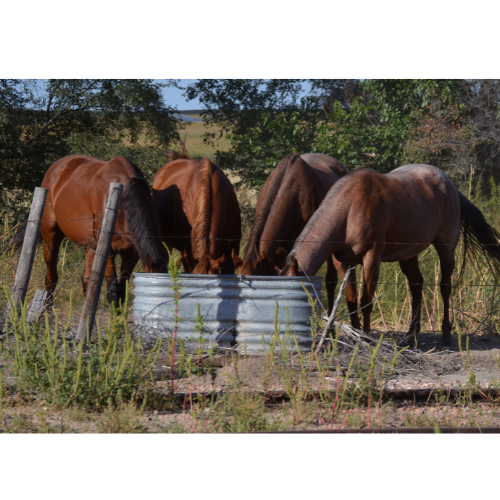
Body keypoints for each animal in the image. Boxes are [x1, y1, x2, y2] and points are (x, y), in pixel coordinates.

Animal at [11, 155, 168, 304]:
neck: (123, 201)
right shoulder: (108, 253)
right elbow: (113, 293)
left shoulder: (131, 255)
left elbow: (121, 292)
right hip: (51, 237)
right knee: (51, 278)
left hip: (90, 246)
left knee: (85, 279)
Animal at [280, 166, 500, 346]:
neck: (349, 208)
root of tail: (448, 182)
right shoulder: (343, 262)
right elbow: (352, 301)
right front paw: (356, 335)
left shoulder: (371, 259)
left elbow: (366, 302)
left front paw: (366, 338)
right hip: (408, 254)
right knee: (416, 285)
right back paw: (410, 336)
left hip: (446, 247)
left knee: (445, 287)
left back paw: (446, 335)